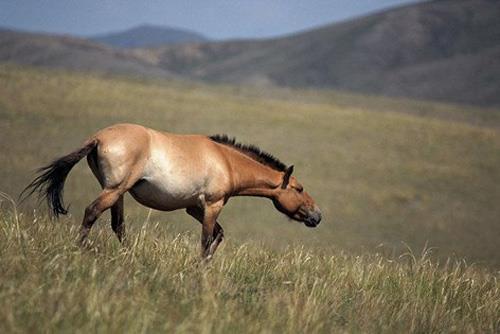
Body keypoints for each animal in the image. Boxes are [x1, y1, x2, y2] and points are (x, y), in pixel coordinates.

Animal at [21, 124, 322, 258]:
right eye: (299, 188)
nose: (317, 216)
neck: (225, 161)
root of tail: (98, 138)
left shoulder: (193, 208)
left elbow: (219, 235)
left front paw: (207, 264)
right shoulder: (212, 205)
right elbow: (207, 238)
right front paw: (201, 267)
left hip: (117, 193)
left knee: (118, 225)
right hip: (115, 190)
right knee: (92, 212)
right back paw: (79, 249)